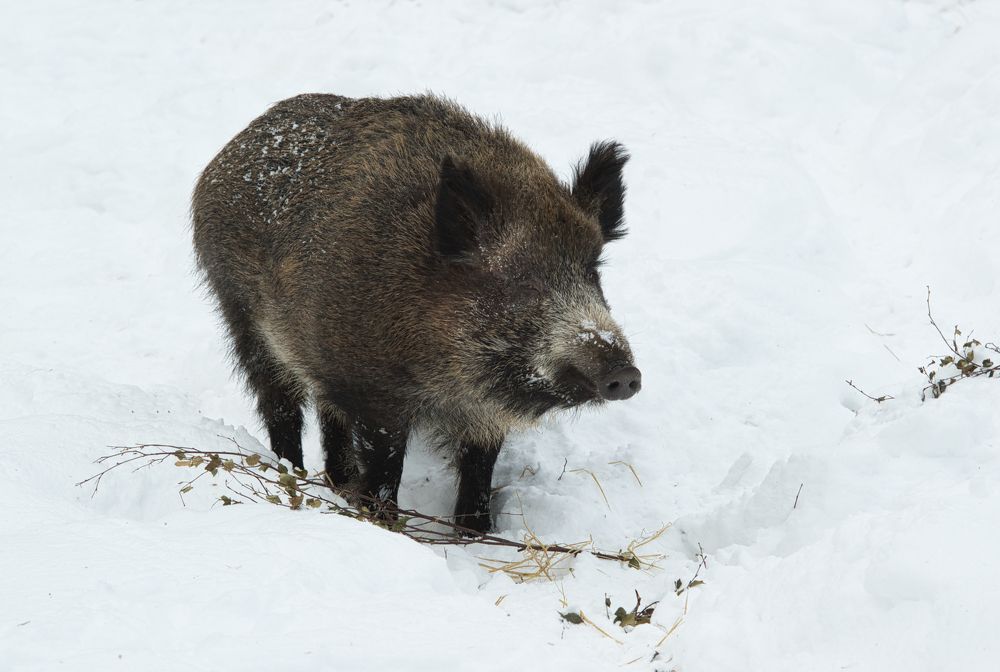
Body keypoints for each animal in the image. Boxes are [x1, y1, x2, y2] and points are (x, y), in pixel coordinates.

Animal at [191, 93, 640, 533]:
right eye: (522, 281)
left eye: (593, 271)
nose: (626, 374)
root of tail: (229, 152)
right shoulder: (373, 392)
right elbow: (385, 468)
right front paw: (384, 523)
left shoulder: (482, 413)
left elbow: (479, 469)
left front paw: (474, 533)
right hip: (242, 319)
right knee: (280, 406)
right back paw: (292, 475)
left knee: (327, 415)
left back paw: (337, 484)